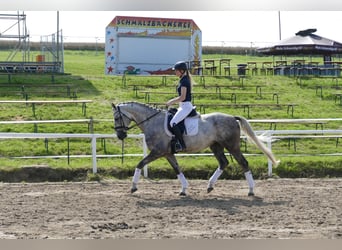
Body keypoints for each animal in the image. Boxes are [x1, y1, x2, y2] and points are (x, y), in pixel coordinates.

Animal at [111, 101, 280, 195]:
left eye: (117, 117)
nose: (120, 135)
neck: (152, 122)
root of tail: (232, 117)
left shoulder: (157, 152)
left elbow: (140, 164)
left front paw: (133, 187)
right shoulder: (167, 153)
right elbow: (177, 169)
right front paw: (184, 189)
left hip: (232, 146)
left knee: (243, 163)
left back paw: (250, 191)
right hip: (215, 146)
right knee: (223, 163)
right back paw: (210, 186)